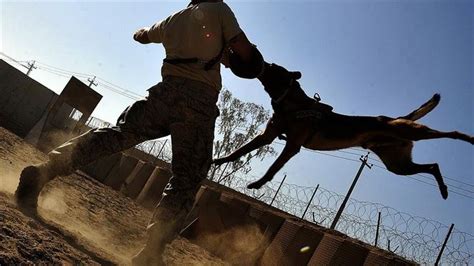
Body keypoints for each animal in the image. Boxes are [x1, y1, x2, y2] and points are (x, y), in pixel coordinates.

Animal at [215, 62, 474, 200]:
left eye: (273, 68)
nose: (262, 62)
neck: (292, 104)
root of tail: (396, 119)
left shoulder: (292, 146)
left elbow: (272, 169)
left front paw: (258, 184)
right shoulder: (266, 137)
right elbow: (238, 152)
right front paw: (218, 160)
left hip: (413, 134)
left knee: (449, 134)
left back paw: (467, 138)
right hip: (398, 165)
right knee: (433, 166)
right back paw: (443, 189)